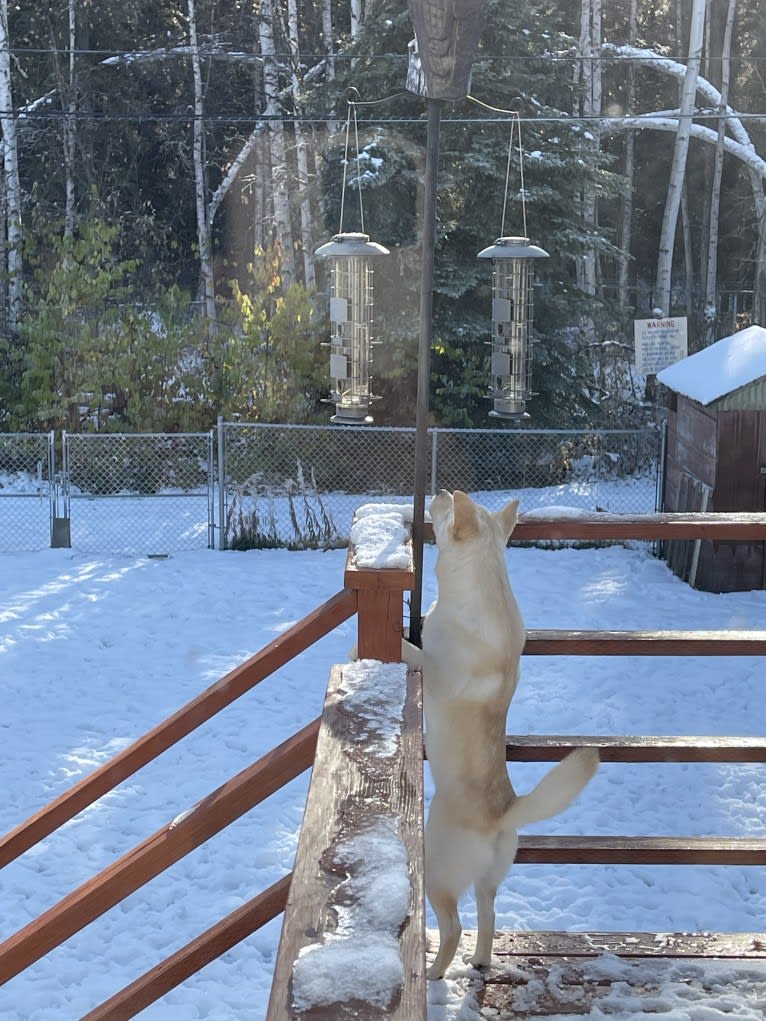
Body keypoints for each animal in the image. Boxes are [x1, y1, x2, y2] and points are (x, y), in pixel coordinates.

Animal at [408, 490, 600, 984]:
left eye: (446, 511)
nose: (439, 492)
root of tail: (503, 813)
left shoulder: (436, 672)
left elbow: (412, 652)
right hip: (488, 880)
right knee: (488, 915)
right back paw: (479, 959)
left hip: (437, 871)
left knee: (454, 926)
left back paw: (435, 972)